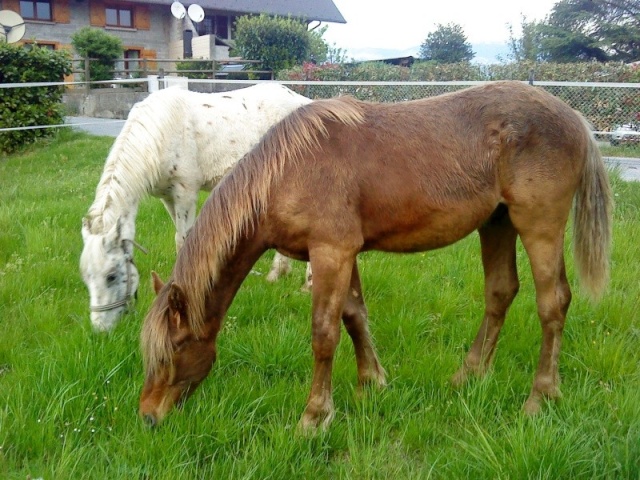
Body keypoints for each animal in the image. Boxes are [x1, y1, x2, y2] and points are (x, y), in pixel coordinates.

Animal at [79, 82, 314, 332]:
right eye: (86, 277)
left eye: (111, 276)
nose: (100, 329)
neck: (161, 132)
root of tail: (305, 102)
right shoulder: (167, 198)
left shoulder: (185, 193)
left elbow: (183, 241)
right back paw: (277, 274)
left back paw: (307, 285)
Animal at [139, 81, 608, 432]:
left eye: (173, 349)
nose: (148, 416)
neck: (288, 171)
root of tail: (576, 119)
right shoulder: (344, 254)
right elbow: (354, 316)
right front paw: (372, 384)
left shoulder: (331, 253)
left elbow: (324, 333)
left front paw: (315, 416)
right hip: (496, 223)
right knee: (500, 293)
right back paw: (469, 375)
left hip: (538, 226)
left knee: (553, 303)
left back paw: (540, 397)